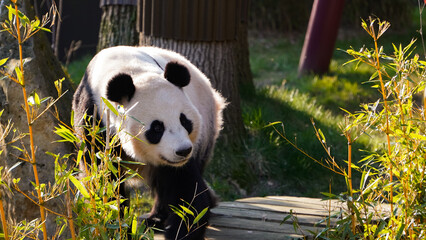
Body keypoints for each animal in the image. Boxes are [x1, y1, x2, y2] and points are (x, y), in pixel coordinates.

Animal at [72, 46, 226, 239]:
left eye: (184, 121)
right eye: (157, 128)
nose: (183, 151)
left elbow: (185, 190)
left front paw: (181, 231)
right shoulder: (93, 122)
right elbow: (105, 181)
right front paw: (117, 227)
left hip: (206, 129)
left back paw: (157, 218)